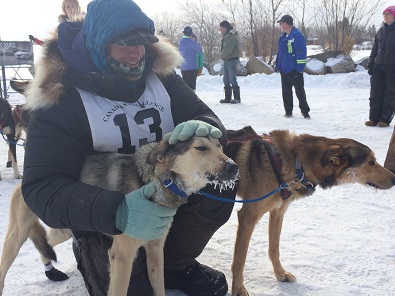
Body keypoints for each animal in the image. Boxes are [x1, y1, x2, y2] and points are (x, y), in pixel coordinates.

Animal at [0, 135, 238, 294]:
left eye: (220, 146)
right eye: (201, 148)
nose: (233, 166)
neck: (155, 181)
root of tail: (26, 180)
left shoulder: (155, 249)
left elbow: (159, 286)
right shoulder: (121, 256)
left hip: (64, 228)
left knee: (45, 240)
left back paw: (50, 268)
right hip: (16, 237)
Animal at [226, 126, 395, 296]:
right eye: (371, 162)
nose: (394, 179)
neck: (296, 163)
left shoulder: (278, 212)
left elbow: (274, 249)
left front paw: (280, 273)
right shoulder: (247, 218)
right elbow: (239, 261)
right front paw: (238, 288)